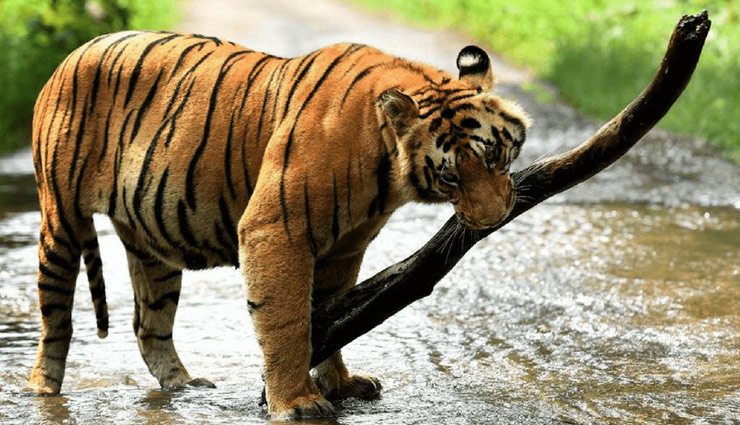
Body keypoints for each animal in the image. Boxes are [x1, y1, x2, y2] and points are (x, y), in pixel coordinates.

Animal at [26, 31, 529, 419]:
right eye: (450, 176)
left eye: (494, 157)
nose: (493, 219)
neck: (385, 165)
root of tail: (71, 54)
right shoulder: (276, 229)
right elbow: (288, 322)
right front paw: (297, 403)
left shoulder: (344, 248)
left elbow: (329, 315)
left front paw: (340, 384)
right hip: (61, 221)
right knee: (55, 318)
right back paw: (42, 389)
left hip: (152, 247)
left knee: (150, 327)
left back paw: (183, 386)